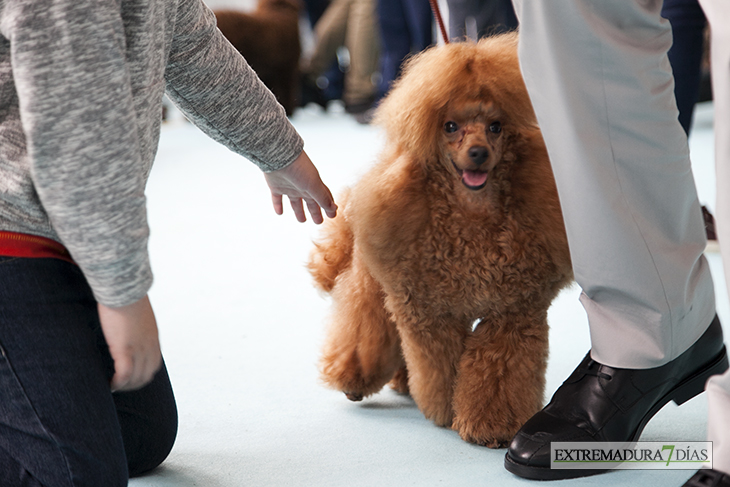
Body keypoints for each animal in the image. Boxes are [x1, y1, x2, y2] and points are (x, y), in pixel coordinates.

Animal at [304, 32, 572, 448]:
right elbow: (440, 366)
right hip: (375, 281)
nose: (477, 153)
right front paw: (445, 409)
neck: (472, 217)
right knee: (366, 324)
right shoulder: (428, 312)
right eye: (450, 126)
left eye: (496, 127)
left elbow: (498, 368)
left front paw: (491, 426)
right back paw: (356, 378)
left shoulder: (513, 312)